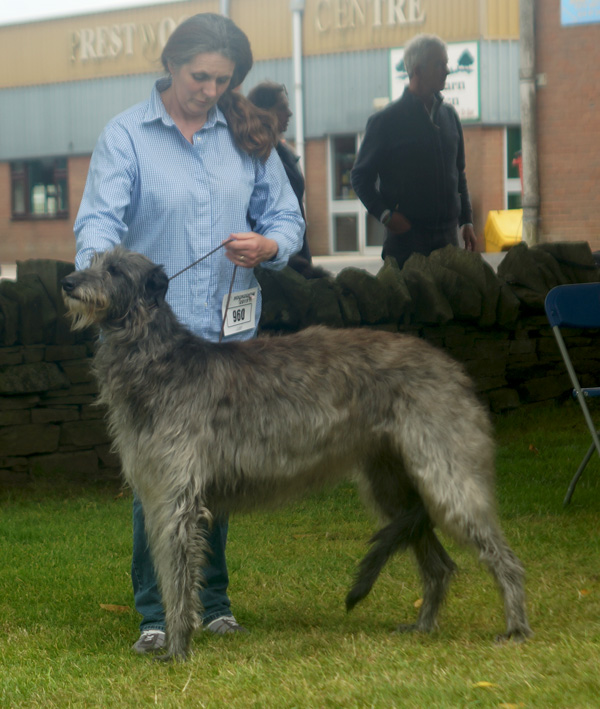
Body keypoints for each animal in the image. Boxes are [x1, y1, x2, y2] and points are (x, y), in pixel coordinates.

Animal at [59, 248, 528, 660]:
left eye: (115, 269)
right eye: (92, 261)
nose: (67, 282)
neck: (159, 361)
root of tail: (452, 367)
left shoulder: (177, 500)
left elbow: (178, 581)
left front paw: (177, 651)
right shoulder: (158, 497)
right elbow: (170, 576)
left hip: (446, 478)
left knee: (504, 558)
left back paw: (516, 629)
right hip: (392, 484)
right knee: (439, 566)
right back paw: (423, 627)